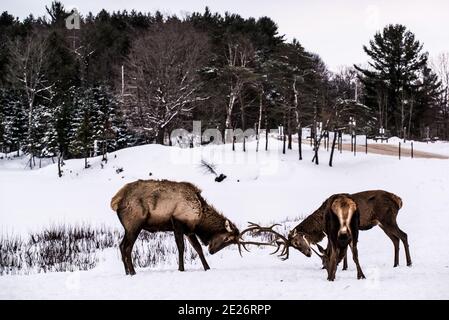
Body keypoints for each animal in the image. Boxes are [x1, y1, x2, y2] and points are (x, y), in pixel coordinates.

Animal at [110, 180, 254, 276]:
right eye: (226, 238)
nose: (212, 251)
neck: (199, 217)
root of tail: (116, 201)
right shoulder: (177, 222)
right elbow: (181, 247)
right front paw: (181, 268)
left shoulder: (189, 230)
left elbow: (198, 248)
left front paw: (207, 267)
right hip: (134, 225)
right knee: (127, 248)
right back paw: (133, 272)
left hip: (128, 228)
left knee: (121, 246)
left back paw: (127, 272)